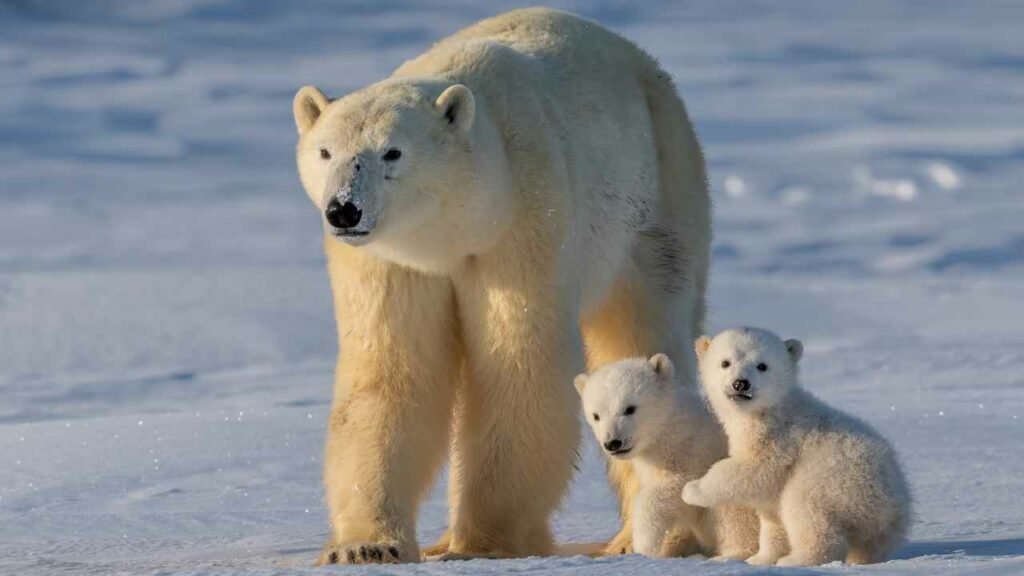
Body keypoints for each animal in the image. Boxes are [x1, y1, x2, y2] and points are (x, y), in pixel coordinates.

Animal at [292, 8, 711, 564]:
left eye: (392, 152)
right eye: (325, 151)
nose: (344, 209)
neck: (456, 228)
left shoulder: (524, 220)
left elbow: (519, 365)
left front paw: (482, 543)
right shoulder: (391, 262)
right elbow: (391, 372)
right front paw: (366, 546)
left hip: (657, 197)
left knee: (643, 329)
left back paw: (641, 537)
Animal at [575, 354, 759, 559]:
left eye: (630, 408)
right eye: (596, 415)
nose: (613, 443)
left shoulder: (695, 453)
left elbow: (674, 489)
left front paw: (644, 544)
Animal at [682, 328, 911, 566]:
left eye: (762, 365)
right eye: (725, 362)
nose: (741, 383)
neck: (770, 409)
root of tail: (893, 505)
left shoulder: (778, 439)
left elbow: (751, 469)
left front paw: (692, 490)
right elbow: (772, 517)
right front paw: (760, 559)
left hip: (835, 480)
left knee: (804, 508)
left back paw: (797, 559)